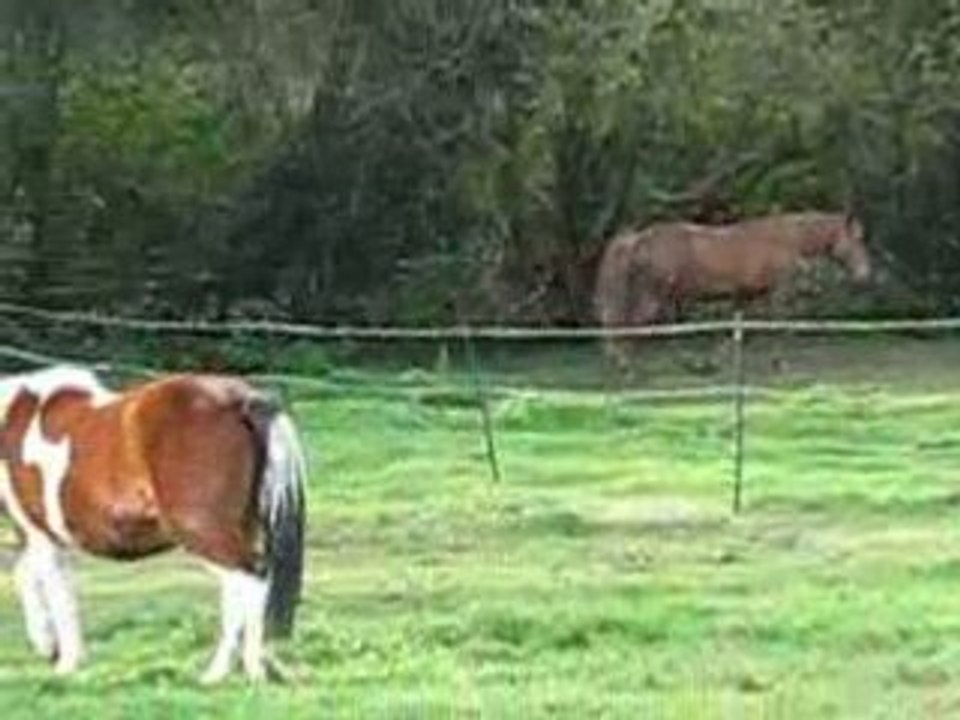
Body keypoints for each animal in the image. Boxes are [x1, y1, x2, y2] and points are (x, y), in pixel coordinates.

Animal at [0, 365, 307, 684]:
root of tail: (243, 401)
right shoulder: (46, 541)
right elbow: (31, 579)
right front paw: (48, 645)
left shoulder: (41, 536)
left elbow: (57, 595)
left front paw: (65, 661)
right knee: (238, 589)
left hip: (203, 532)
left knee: (250, 579)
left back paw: (234, 671)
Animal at [593, 211, 871, 370]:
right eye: (856, 240)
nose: (865, 274)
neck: (783, 239)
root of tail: (639, 238)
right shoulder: (777, 294)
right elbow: (778, 326)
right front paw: (780, 363)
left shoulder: (745, 296)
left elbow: (737, 331)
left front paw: (718, 359)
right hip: (656, 297)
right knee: (635, 323)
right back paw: (625, 362)